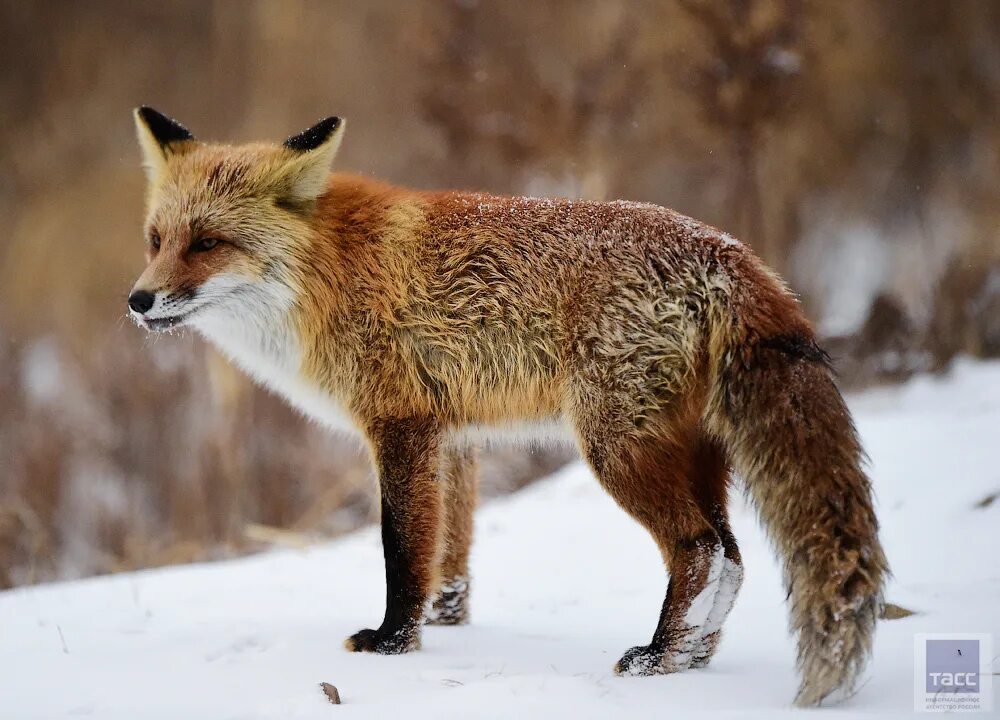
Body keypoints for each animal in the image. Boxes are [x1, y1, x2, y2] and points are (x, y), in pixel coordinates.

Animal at [129, 108, 888, 708]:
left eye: (209, 243)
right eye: (157, 240)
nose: (138, 301)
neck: (325, 273)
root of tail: (725, 248)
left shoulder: (398, 426)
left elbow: (401, 549)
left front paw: (392, 642)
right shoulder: (453, 438)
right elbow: (450, 555)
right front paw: (445, 625)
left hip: (616, 449)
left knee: (700, 550)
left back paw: (657, 658)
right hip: (693, 452)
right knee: (730, 553)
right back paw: (693, 657)